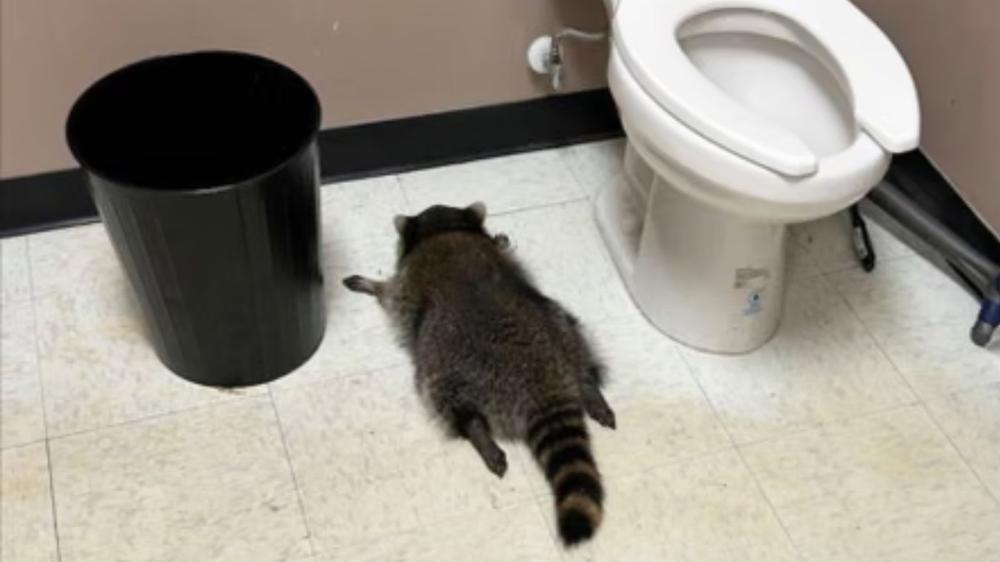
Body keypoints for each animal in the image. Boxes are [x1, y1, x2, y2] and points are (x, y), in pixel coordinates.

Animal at [342, 202, 616, 546]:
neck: (444, 229)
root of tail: (542, 383)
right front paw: (499, 238)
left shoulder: (407, 285)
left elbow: (391, 293)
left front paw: (372, 284)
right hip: (560, 325)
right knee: (577, 346)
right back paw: (590, 388)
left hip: (445, 363)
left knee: (444, 397)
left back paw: (477, 431)